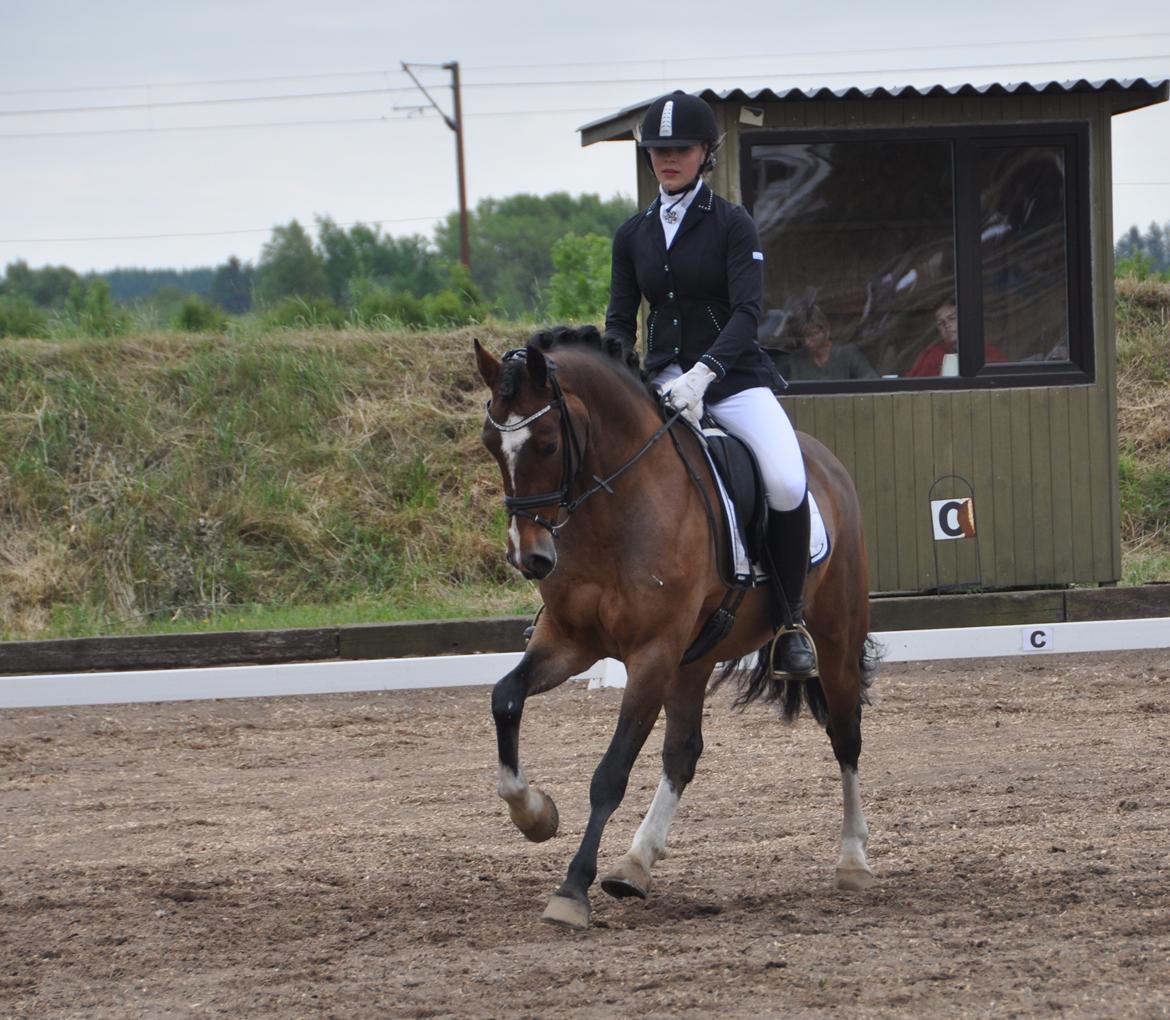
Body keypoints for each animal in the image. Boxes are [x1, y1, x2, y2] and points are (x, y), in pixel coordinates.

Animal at [475, 327, 879, 931]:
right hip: (695, 658)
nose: (531, 558)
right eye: (489, 444)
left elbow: (611, 774)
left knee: (845, 735)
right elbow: (505, 698)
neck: (613, 510)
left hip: (833, 637)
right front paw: (535, 815)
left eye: (546, 442)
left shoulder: (652, 654)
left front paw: (572, 889)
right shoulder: (569, 642)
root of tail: (827, 463)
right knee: (683, 751)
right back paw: (635, 864)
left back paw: (853, 860)